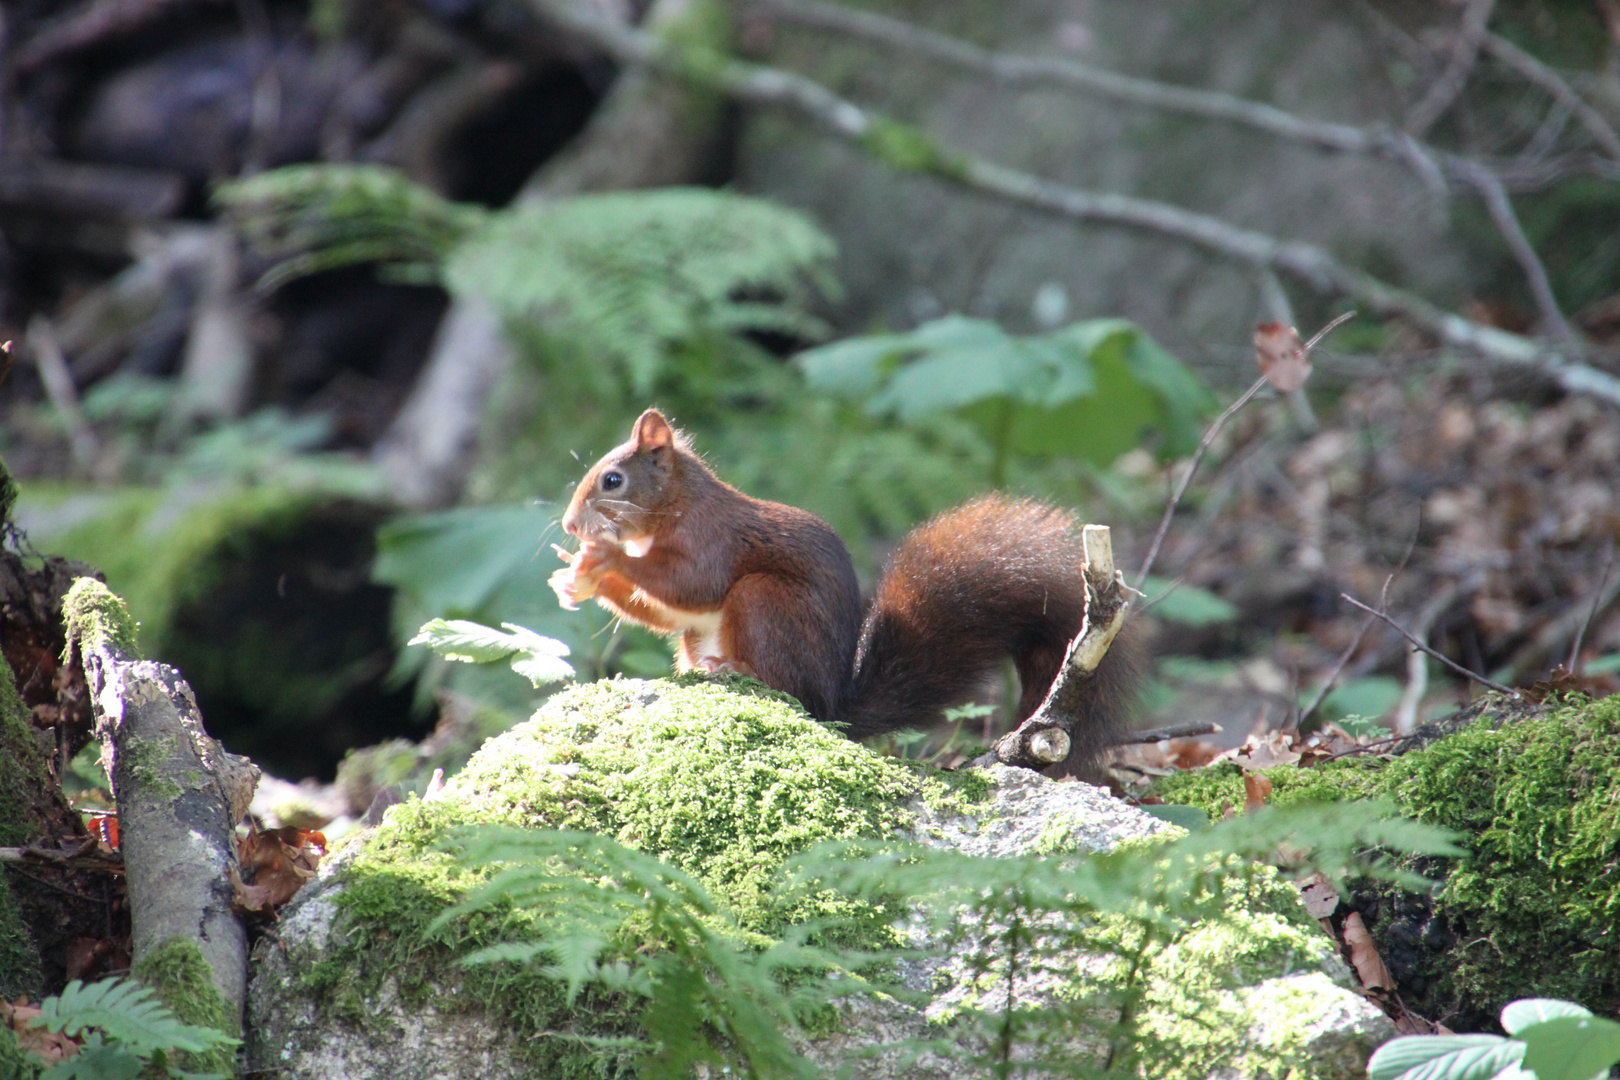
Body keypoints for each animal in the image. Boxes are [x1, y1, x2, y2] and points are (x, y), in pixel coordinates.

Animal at [550, 409, 1134, 773]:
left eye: (613, 481)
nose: (571, 526)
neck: (674, 507)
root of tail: (834, 706)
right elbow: (665, 613)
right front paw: (576, 577)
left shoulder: (712, 540)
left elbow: (691, 585)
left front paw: (603, 559)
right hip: (708, 638)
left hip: (764, 600)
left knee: (786, 686)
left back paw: (738, 670)